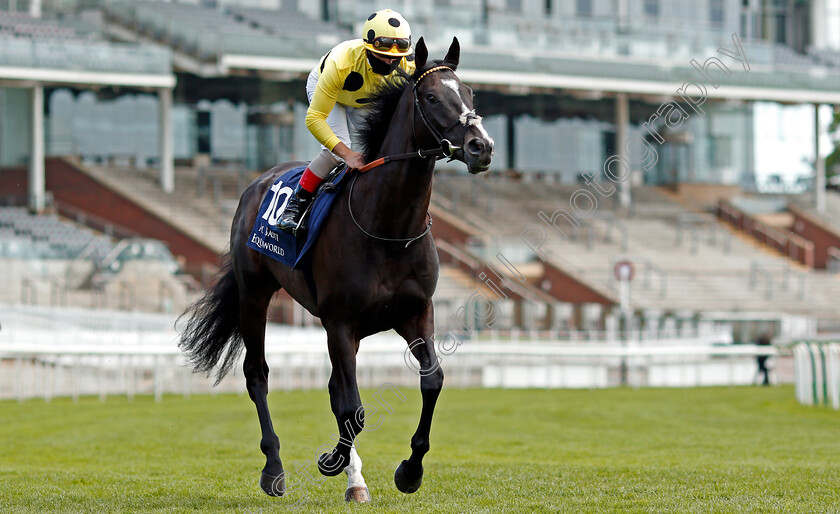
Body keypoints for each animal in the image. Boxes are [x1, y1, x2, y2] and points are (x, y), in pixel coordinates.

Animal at [177, 38, 492, 502]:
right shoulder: (339, 321)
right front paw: (333, 460)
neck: (388, 226)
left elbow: (430, 382)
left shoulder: (415, 312)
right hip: (255, 294)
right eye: (433, 97)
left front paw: (409, 470)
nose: (480, 147)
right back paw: (274, 469)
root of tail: (257, 183)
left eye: (469, 93)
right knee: (258, 376)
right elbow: (353, 408)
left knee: (331, 389)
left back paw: (354, 480)